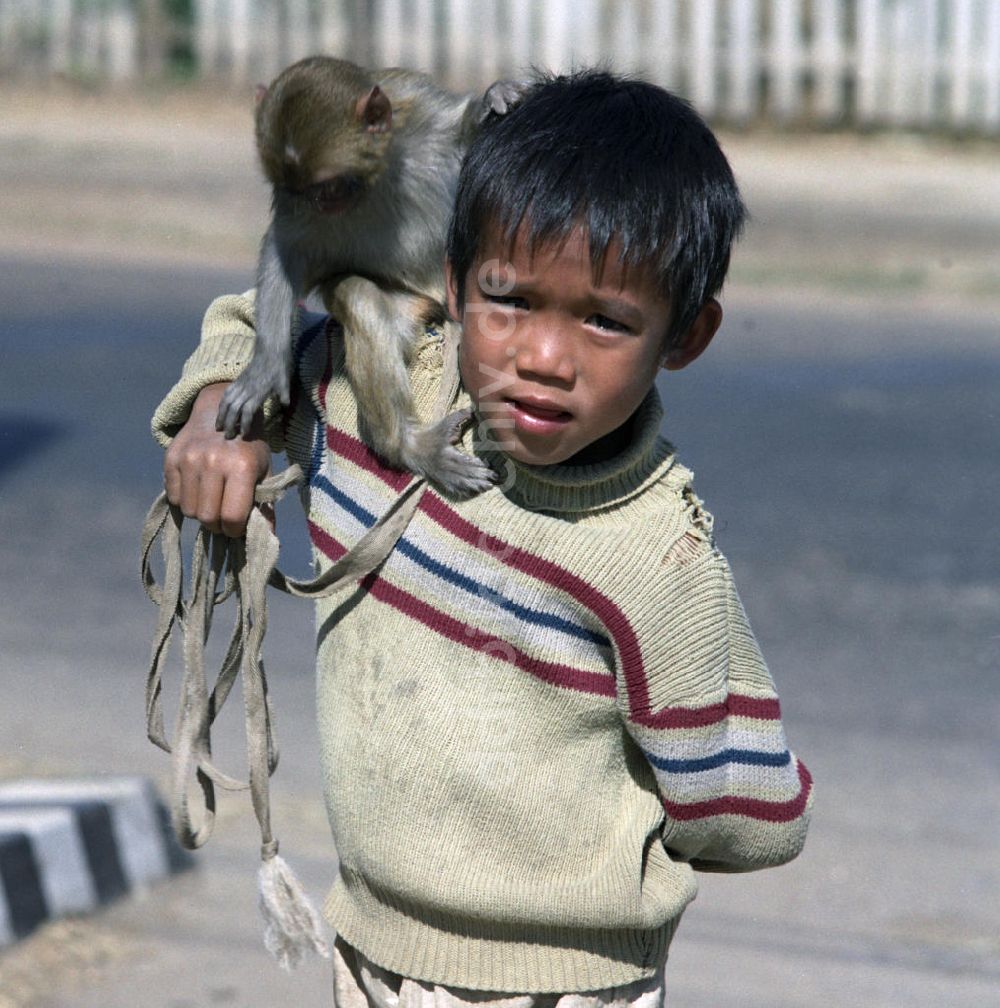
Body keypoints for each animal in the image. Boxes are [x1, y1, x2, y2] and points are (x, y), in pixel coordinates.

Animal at [213, 55, 520, 495]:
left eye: (327, 186)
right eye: (295, 190)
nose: (318, 204)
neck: (376, 175)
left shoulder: (420, 106)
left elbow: (463, 130)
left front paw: (493, 99)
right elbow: (284, 249)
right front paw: (267, 364)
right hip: (413, 306)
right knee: (358, 295)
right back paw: (406, 445)